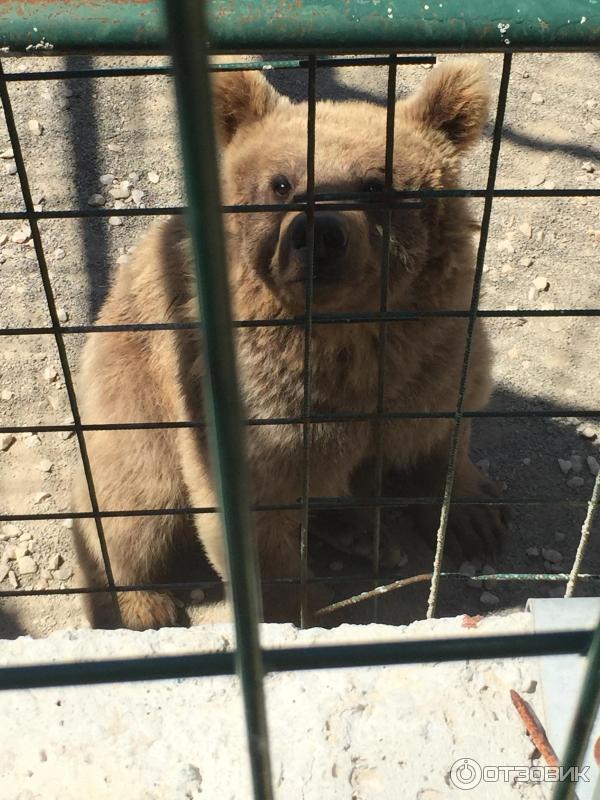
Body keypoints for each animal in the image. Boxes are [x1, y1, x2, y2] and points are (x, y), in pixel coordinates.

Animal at [71, 59, 506, 628]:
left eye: (375, 183)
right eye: (282, 182)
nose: (318, 233)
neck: (346, 338)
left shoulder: (434, 358)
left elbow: (445, 429)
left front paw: (476, 515)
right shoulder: (257, 401)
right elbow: (254, 525)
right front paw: (306, 614)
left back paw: (358, 530)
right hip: (135, 393)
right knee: (133, 502)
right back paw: (143, 605)